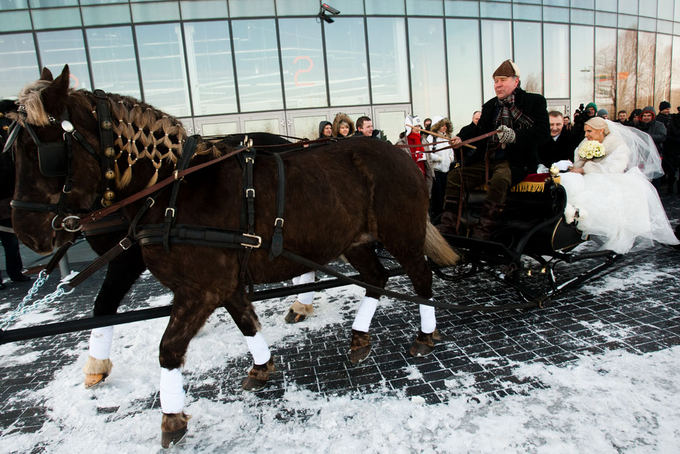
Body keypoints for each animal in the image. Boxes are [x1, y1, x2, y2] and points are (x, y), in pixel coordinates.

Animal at [9, 65, 456, 448]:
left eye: (44, 149)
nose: (27, 232)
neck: (173, 191)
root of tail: (401, 152)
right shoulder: (221, 282)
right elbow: (246, 321)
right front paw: (261, 367)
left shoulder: (200, 288)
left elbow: (169, 348)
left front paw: (171, 418)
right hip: (355, 241)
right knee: (377, 278)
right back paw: (360, 337)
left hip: (401, 234)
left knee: (420, 277)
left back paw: (424, 334)